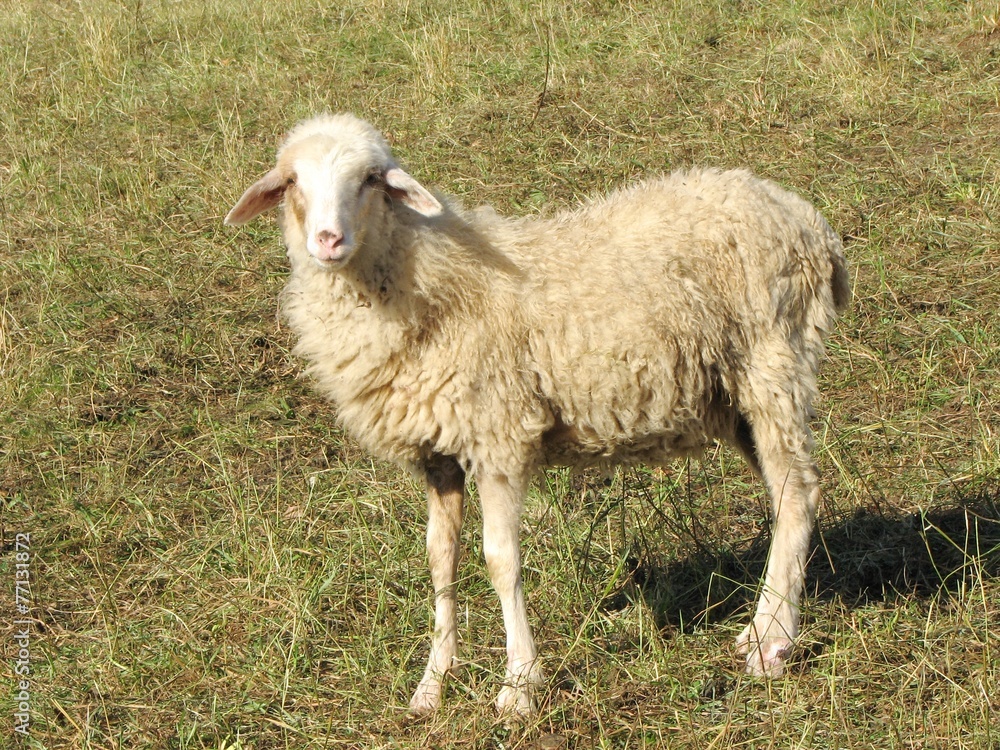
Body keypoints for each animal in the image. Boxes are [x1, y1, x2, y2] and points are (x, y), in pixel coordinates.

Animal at [225, 112, 851, 718]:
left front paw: (519, 686)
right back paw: (760, 626)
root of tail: (808, 220)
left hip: (773, 363)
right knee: (784, 495)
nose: (327, 240)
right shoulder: (439, 454)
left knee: (798, 491)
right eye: (292, 182)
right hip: (734, 395)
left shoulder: (498, 435)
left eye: (371, 179)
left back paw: (773, 644)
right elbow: (440, 559)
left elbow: (500, 560)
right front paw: (433, 684)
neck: (422, 278)